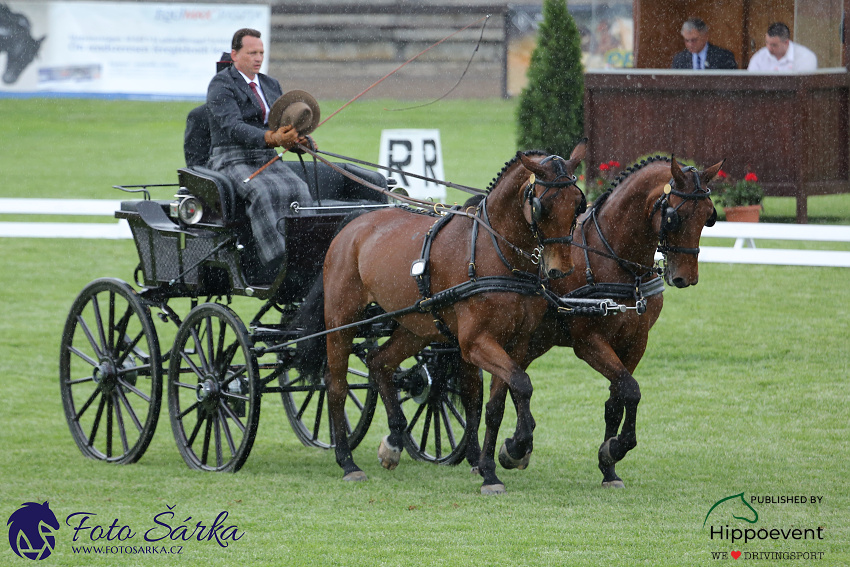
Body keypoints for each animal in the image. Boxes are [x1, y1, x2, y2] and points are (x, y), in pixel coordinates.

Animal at [322, 144, 588, 494]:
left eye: (578, 203)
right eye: (541, 205)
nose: (560, 269)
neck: (496, 252)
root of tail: (355, 223)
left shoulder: (514, 344)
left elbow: (498, 403)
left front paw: (491, 468)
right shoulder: (475, 343)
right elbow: (521, 384)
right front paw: (517, 446)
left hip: (416, 327)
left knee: (379, 361)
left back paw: (393, 442)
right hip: (340, 320)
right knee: (337, 385)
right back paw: (347, 461)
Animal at [490, 154, 724, 488]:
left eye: (708, 216)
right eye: (674, 218)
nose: (685, 278)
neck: (615, 260)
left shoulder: (636, 342)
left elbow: (618, 399)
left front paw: (609, 465)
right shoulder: (589, 343)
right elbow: (631, 389)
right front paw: (615, 448)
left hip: (533, 340)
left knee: (512, 380)